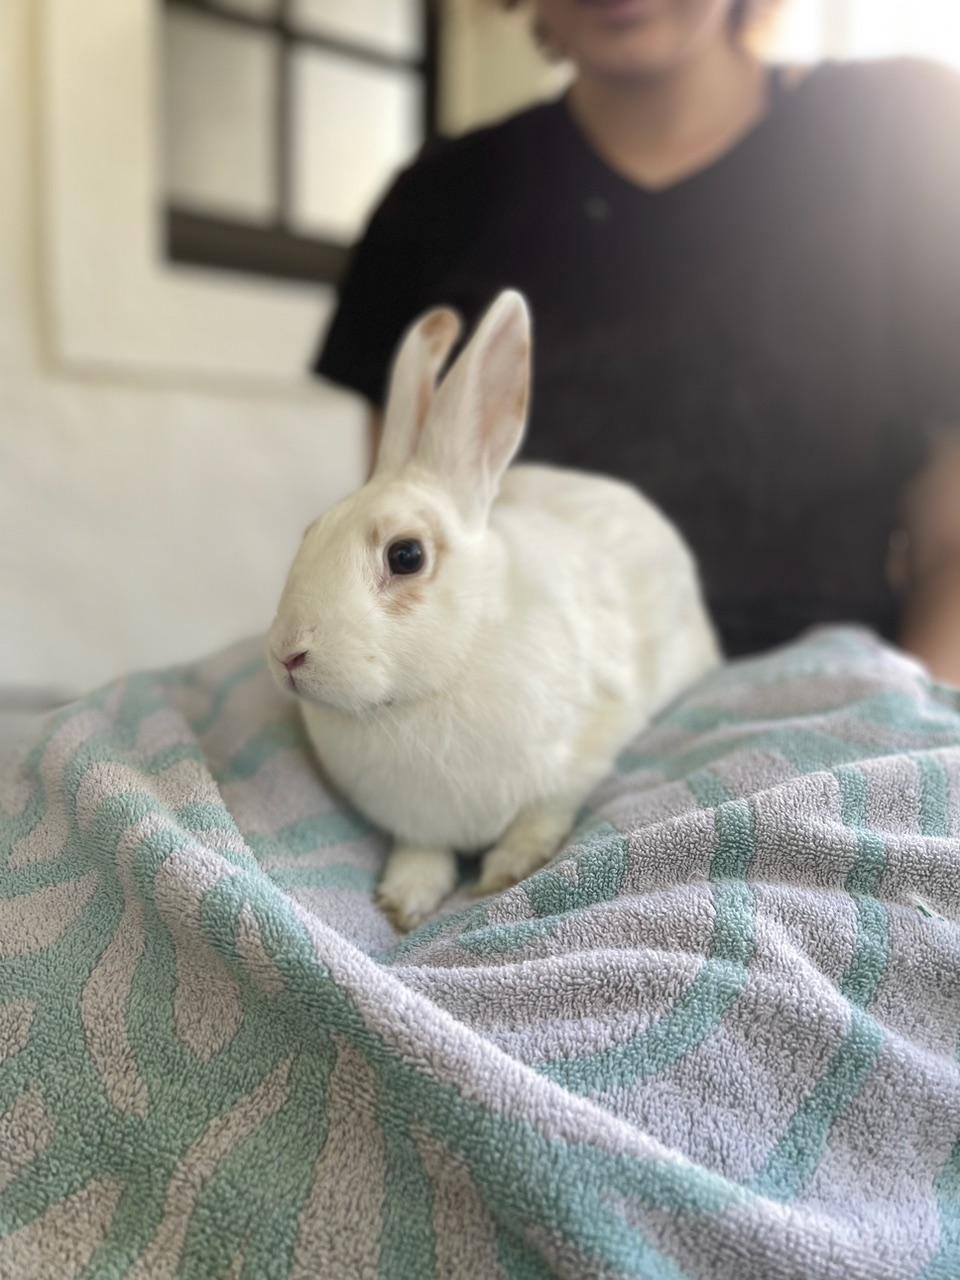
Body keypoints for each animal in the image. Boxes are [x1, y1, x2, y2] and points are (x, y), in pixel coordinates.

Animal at [267, 290, 719, 931]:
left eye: (406, 555)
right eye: (310, 532)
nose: (287, 655)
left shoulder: (584, 750)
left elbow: (543, 814)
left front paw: (507, 871)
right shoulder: (418, 822)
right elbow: (421, 852)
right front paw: (405, 899)